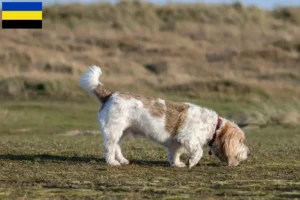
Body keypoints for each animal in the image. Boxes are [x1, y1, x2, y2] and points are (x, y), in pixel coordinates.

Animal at [78, 66, 250, 168]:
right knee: (109, 147)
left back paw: (122, 160)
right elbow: (198, 151)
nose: (249, 153)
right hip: (113, 131)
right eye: (241, 141)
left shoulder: (177, 143)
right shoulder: (188, 138)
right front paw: (191, 162)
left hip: (122, 132)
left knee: (117, 147)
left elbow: (175, 154)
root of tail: (110, 95)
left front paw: (177, 164)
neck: (214, 127)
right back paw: (112, 162)